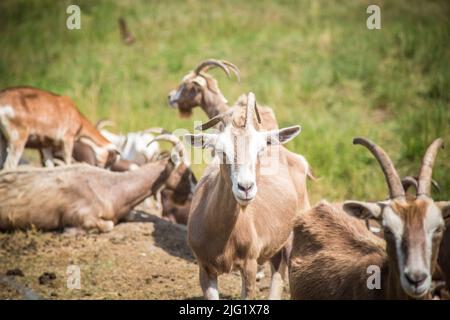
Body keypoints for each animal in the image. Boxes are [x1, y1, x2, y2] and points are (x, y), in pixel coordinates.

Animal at [185, 93, 304, 300]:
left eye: (260, 150)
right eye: (221, 151)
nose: (245, 187)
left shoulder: (249, 264)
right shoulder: (204, 268)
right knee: (278, 270)